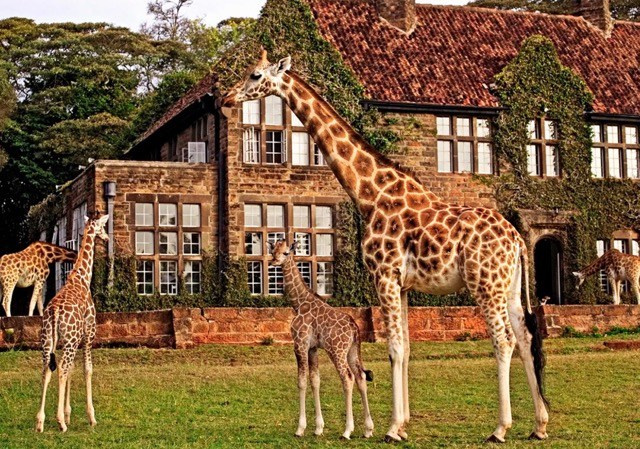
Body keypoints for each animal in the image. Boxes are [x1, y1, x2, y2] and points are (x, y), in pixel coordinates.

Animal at [35, 214, 109, 433]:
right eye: (102, 226)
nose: (107, 237)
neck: (82, 277)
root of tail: (54, 312)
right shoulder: (88, 334)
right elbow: (87, 369)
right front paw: (91, 417)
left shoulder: (70, 340)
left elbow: (72, 370)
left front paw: (68, 414)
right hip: (69, 340)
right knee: (60, 369)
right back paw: (59, 422)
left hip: (48, 341)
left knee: (47, 369)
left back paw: (40, 422)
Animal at [270, 239, 374, 439]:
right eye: (273, 250)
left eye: (286, 252)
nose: (273, 261)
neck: (298, 303)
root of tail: (354, 328)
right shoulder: (313, 348)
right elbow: (315, 380)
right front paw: (318, 428)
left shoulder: (300, 344)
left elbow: (301, 381)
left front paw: (300, 428)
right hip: (352, 351)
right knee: (361, 377)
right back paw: (368, 429)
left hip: (337, 350)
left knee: (347, 378)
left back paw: (347, 431)